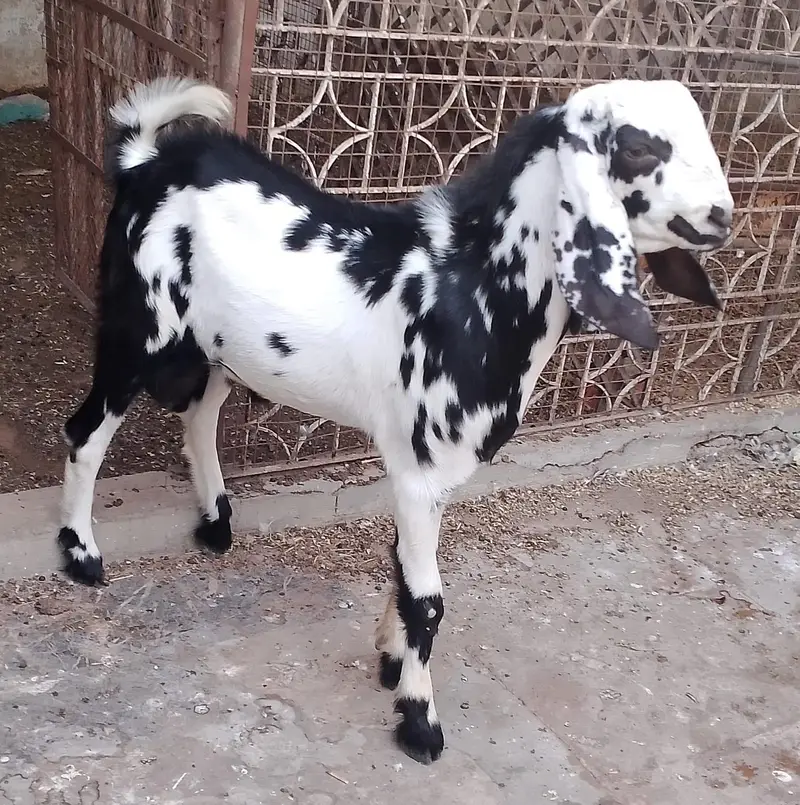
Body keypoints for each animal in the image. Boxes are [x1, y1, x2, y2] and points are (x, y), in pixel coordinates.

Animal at [57, 76, 733, 763]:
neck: (469, 287)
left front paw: (390, 657)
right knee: (86, 432)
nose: (722, 216)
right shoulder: (420, 467)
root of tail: (145, 161)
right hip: (138, 330)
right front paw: (418, 719)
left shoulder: (437, 471)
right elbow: (428, 599)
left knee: (199, 413)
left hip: (222, 347)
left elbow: (405, 568)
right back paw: (82, 553)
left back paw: (216, 521)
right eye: (638, 147)